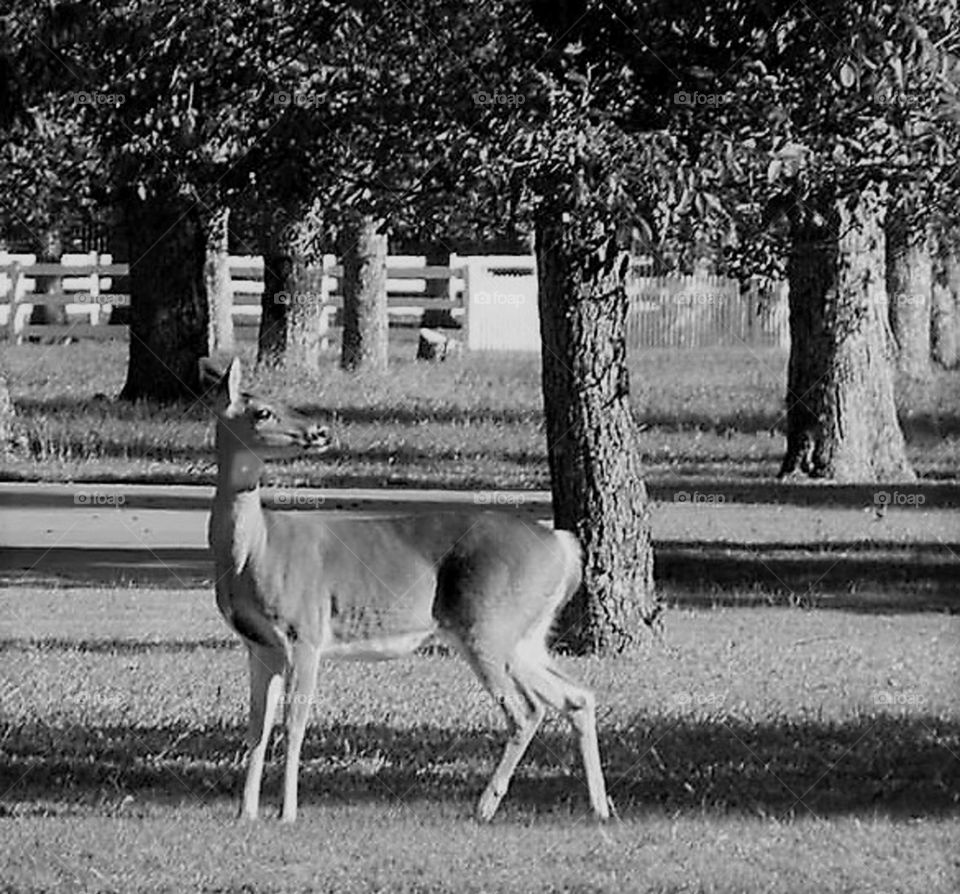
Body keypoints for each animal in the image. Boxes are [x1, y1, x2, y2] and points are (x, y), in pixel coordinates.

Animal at [200, 357, 609, 823]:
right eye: (264, 410)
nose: (321, 431)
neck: (254, 550)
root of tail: (562, 544)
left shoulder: (304, 632)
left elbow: (294, 724)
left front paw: (286, 813)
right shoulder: (258, 645)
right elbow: (256, 726)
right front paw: (245, 813)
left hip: (489, 623)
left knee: (527, 710)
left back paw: (484, 806)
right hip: (525, 634)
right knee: (576, 696)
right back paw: (599, 806)